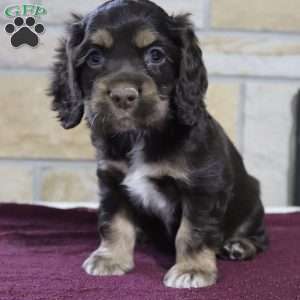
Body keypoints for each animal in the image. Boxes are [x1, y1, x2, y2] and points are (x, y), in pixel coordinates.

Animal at [48, 0, 268, 290]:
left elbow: (193, 231)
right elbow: (113, 222)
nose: (123, 95)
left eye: (156, 55)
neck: (141, 135)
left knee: (259, 237)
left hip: (252, 202)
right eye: (94, 57)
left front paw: (193, 269)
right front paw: (110, 258)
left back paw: (239, 245)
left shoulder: (203, 188)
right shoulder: (112, 181)